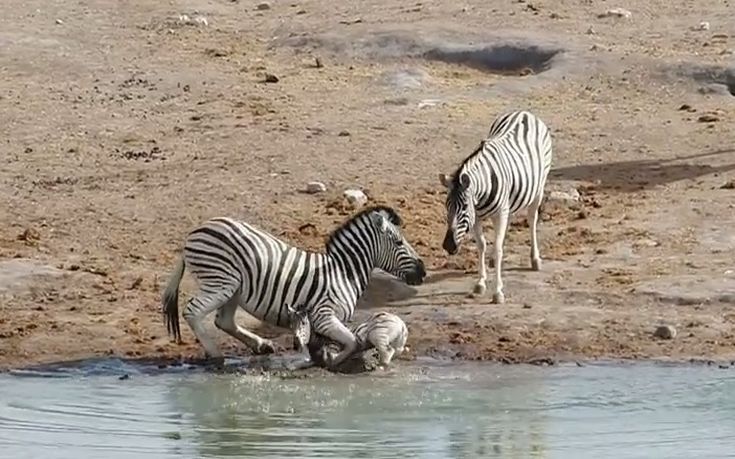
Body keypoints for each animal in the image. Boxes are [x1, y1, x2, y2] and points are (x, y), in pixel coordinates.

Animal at [161, 208, 426, 370]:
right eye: (399, 242)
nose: (423, 272)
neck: (344, 272)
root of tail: (194, 232)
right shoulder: (324, 315)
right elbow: (353, 343)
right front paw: (331, 360)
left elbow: (339, 342)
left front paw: (322, 356)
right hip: (221, 281)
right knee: (193, 311)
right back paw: (216, 355)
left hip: (234, 287)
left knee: (223, 321)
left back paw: (261, 345)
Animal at [436, 110, 552, 306]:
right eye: (446, 206)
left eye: (464, 206)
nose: (448, 245)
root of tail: (524, 112)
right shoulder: (476, 217)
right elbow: (482, 245)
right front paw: (481, 282)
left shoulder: (496, 213)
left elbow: (497, 249)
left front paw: (498, 292)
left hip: (538, 188)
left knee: (532, 220)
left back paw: (535, 259)